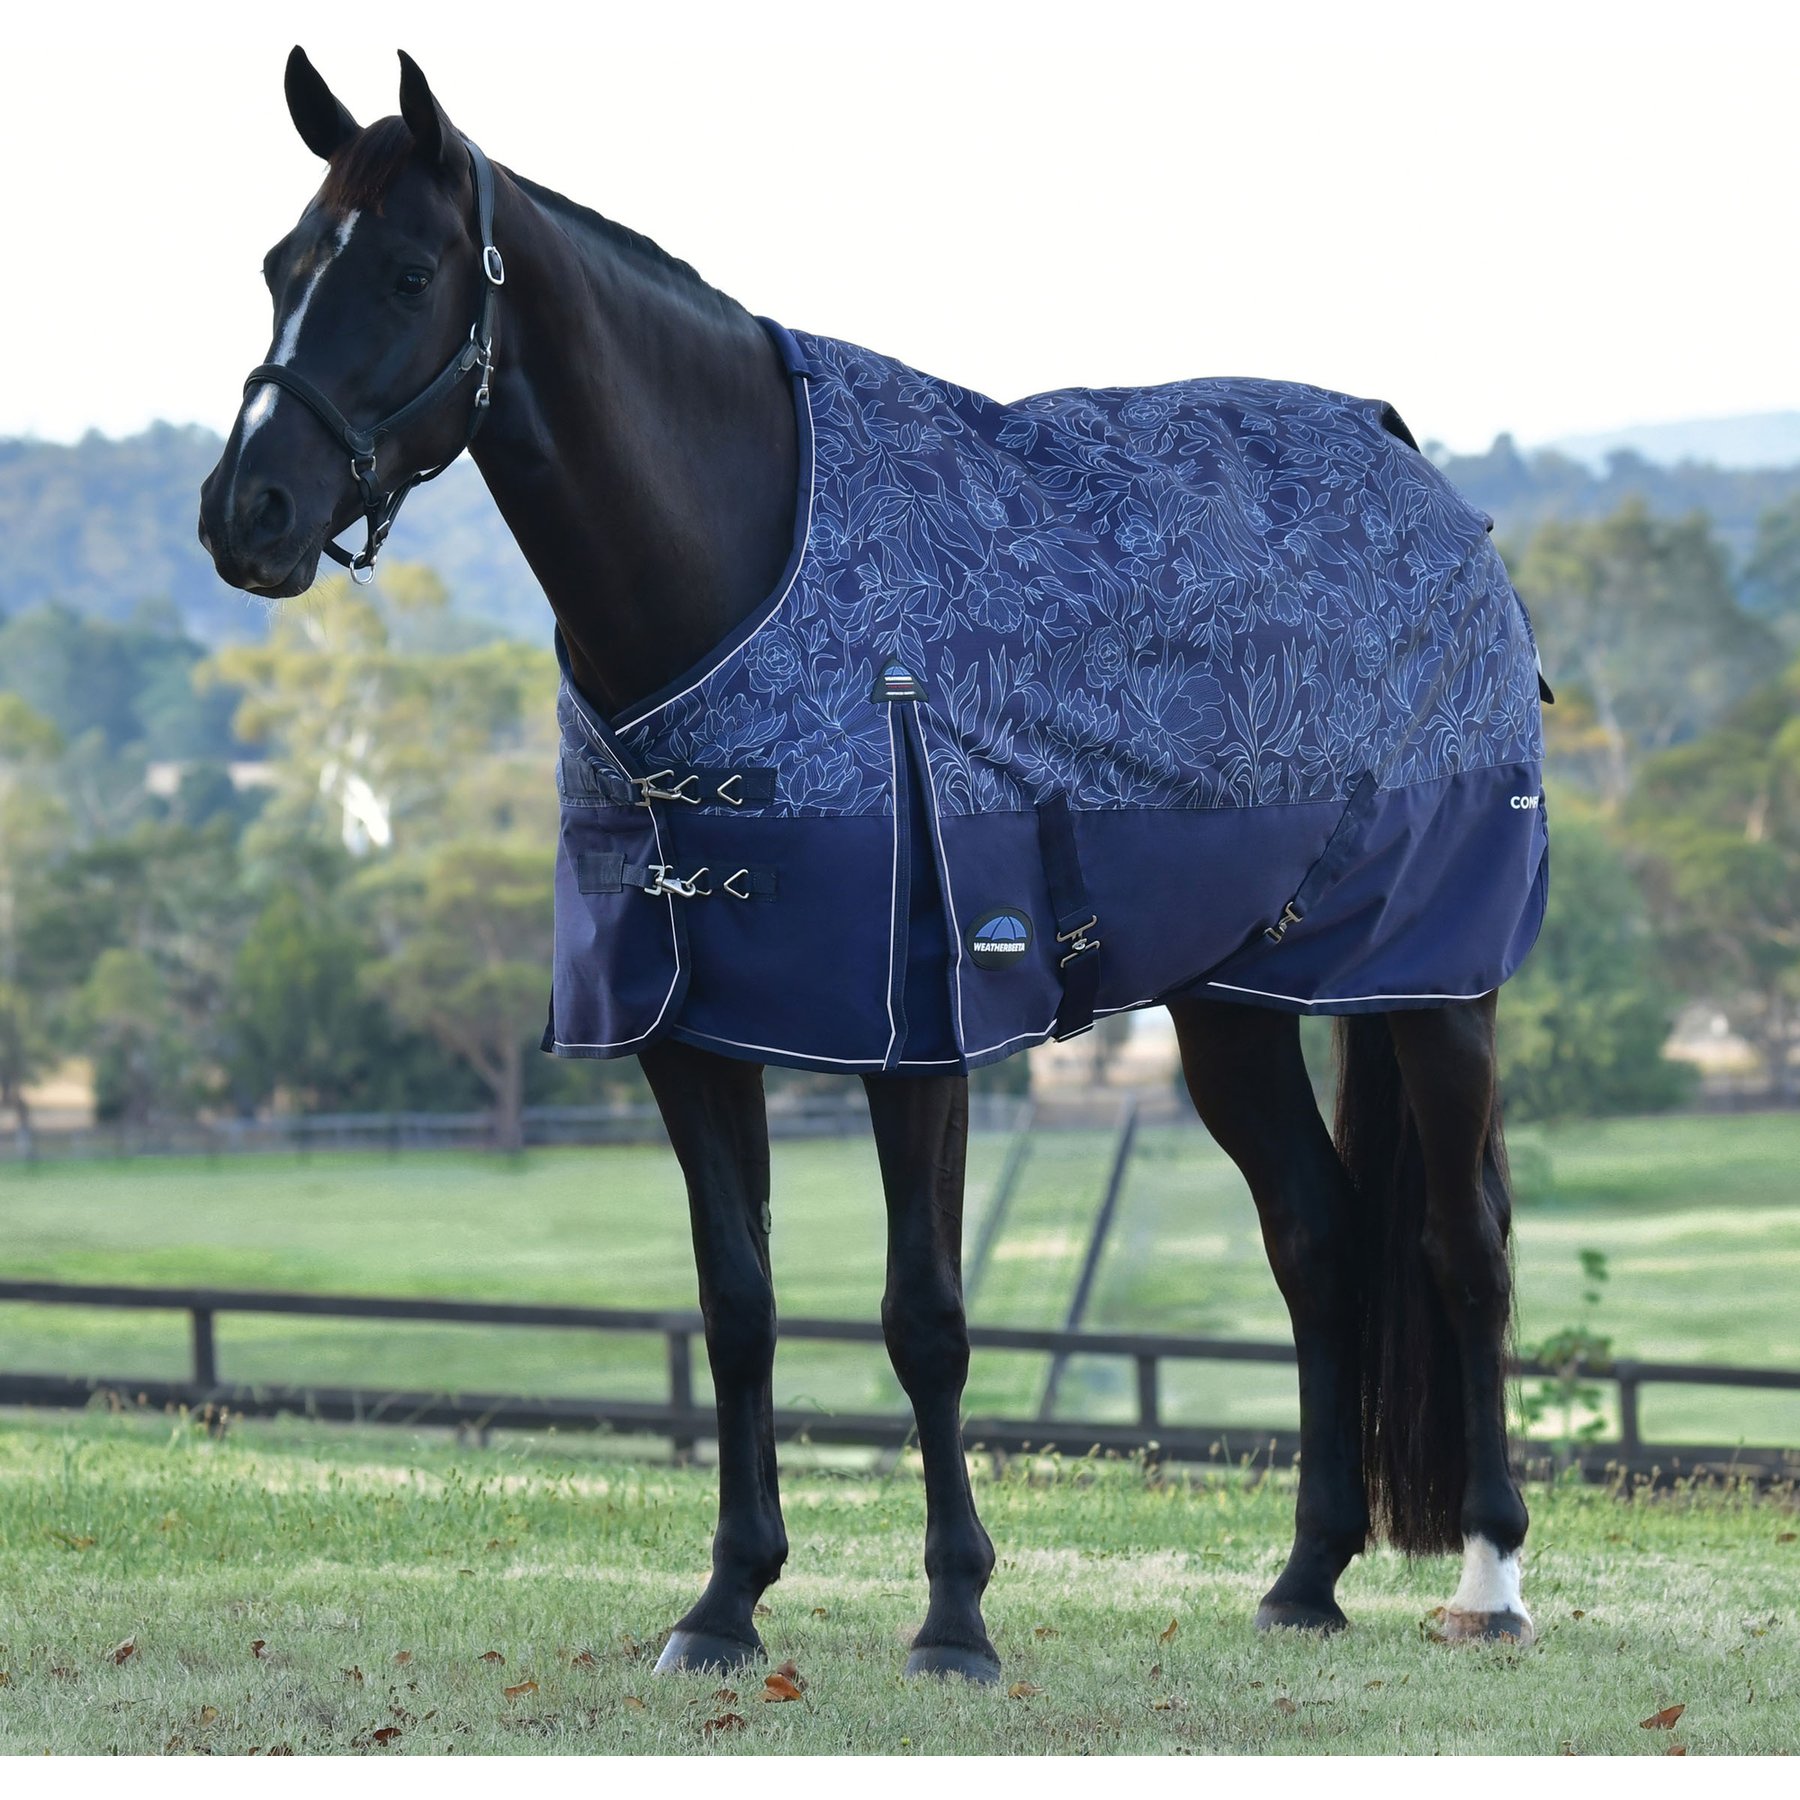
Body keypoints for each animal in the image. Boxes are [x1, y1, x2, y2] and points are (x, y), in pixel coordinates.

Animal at [198, 48, 1543, 1680]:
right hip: (1233, 1002)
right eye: (279, 266)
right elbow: (740, 1304)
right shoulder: (692, 1031)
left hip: (1434, 983)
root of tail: (1418, 471)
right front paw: (725, 1601)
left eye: (404, 272)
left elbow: (926, 1318)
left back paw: (1488, 1579)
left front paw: (956, 1616)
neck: (740, 573)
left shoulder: (919, 1039)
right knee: (1319, 1238)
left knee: (1463, 1241)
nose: (246, 513)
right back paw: (1305, 1578)